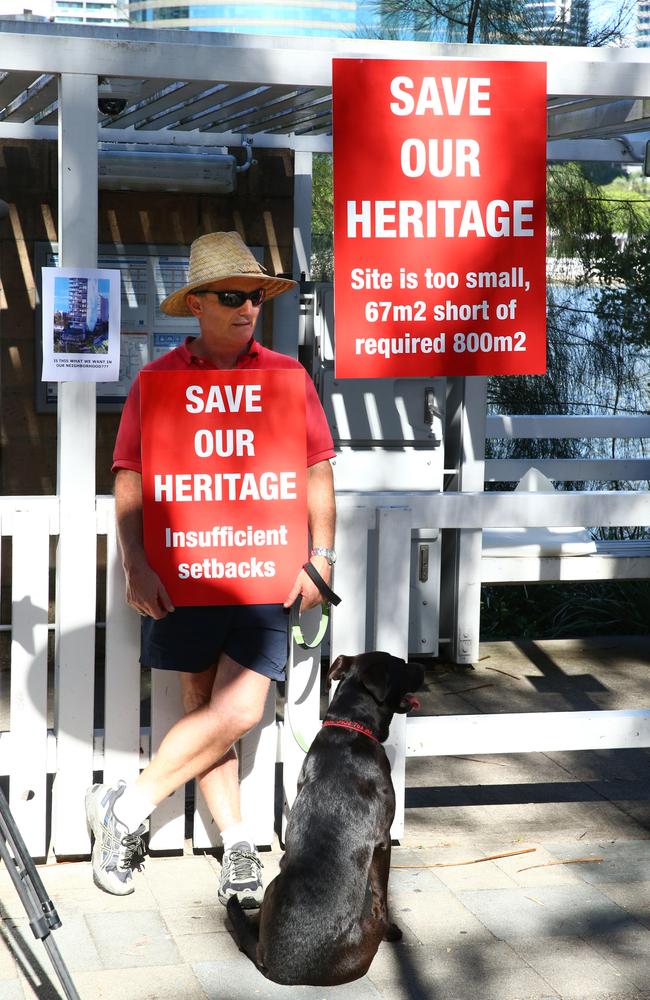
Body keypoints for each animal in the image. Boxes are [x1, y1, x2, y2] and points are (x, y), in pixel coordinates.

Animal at [225, 648, 422, 984]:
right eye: (402, 665)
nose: (421, 667)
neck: (349, 727)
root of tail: (279, 967)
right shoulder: (383, 840)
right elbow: (381, 893)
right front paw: (393, 926)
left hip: (274, 885)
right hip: (364, 943)